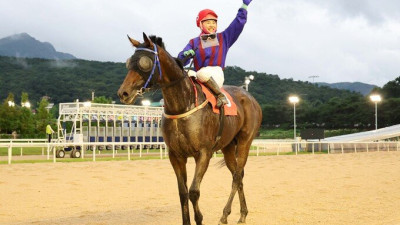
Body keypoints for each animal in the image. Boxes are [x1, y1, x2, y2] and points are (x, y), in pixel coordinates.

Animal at [118, 33, 262, 225]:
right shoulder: (176, 155)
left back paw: (225, 215)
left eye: (144, 62)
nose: (123, 93)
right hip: (228, 146)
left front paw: (199, 218)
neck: (182, 105)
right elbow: (183, 192)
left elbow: (194, 192)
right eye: (129, 62)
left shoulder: (203, 153)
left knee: (237, 176)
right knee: (237, 176)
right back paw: (242, 213)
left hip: (245, 141)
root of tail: (250, 97)